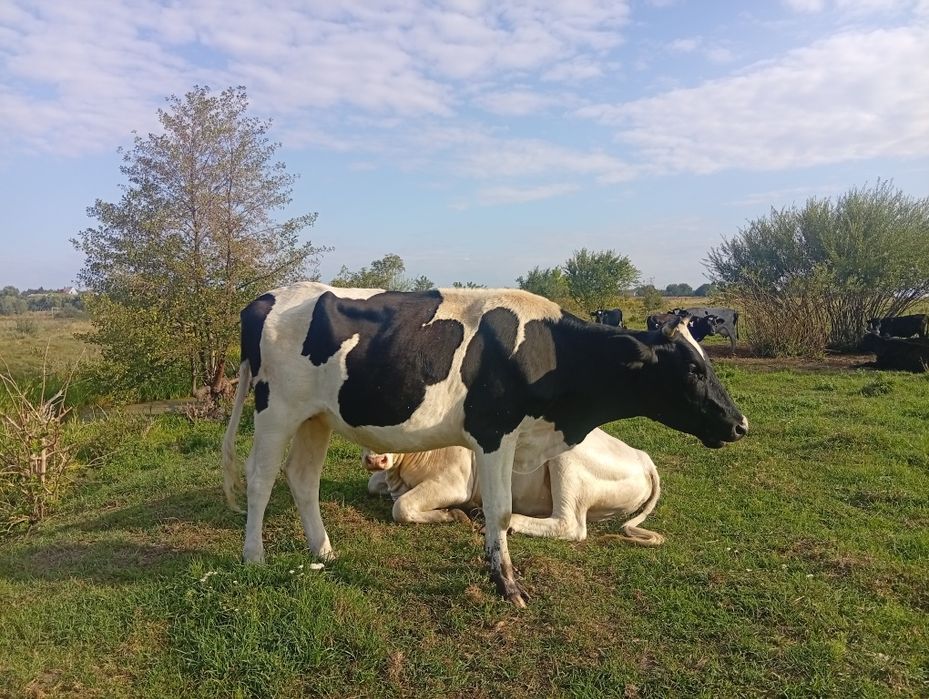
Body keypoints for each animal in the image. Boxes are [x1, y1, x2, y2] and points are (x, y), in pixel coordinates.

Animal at [364, 427, 664, 546]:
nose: (375, 459)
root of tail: (643, 456)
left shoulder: (455, 482)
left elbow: (401, 507)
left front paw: (453, 514)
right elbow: (373, 484)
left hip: (567, 461)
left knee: (570, 525)